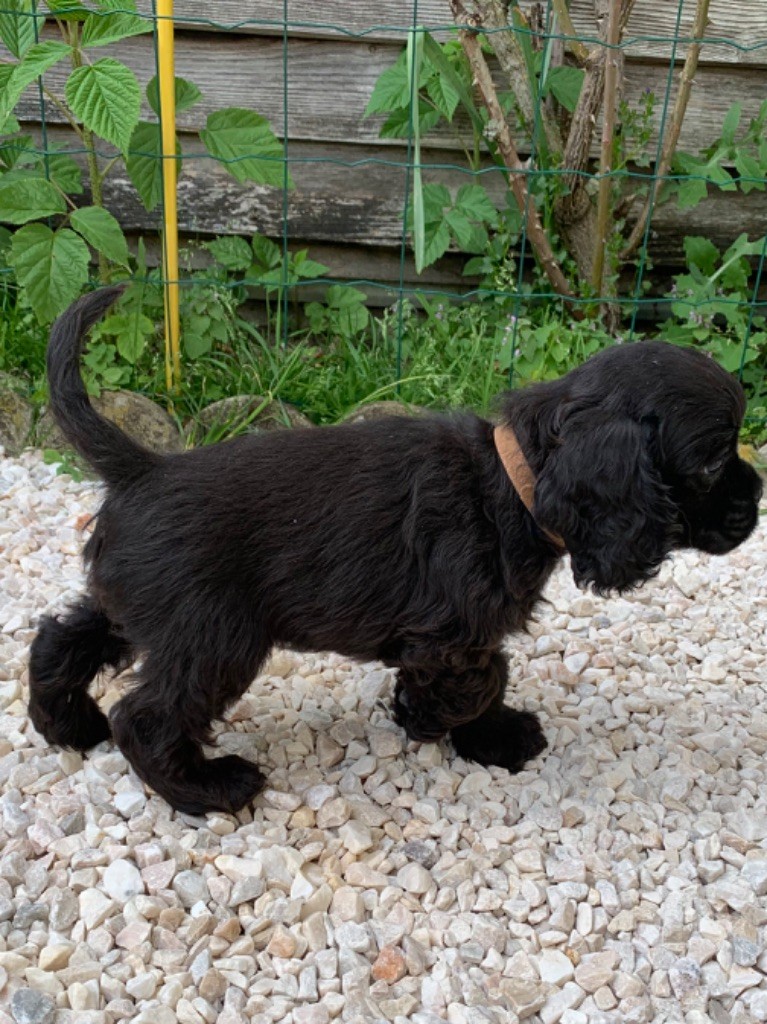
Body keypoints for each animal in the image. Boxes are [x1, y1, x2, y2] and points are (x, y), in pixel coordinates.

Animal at [28, 286, 762, 814]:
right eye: (710, 462)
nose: (756, 501)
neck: (511, 484)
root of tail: (141, 468)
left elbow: (486, 676)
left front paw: (463, 727)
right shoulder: (451, 635)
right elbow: (481, 679)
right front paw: (456, 727)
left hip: (144, 610)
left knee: (60, 639)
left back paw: (68, 726)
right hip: (215, 638)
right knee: (146, 715)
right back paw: (208, 789)